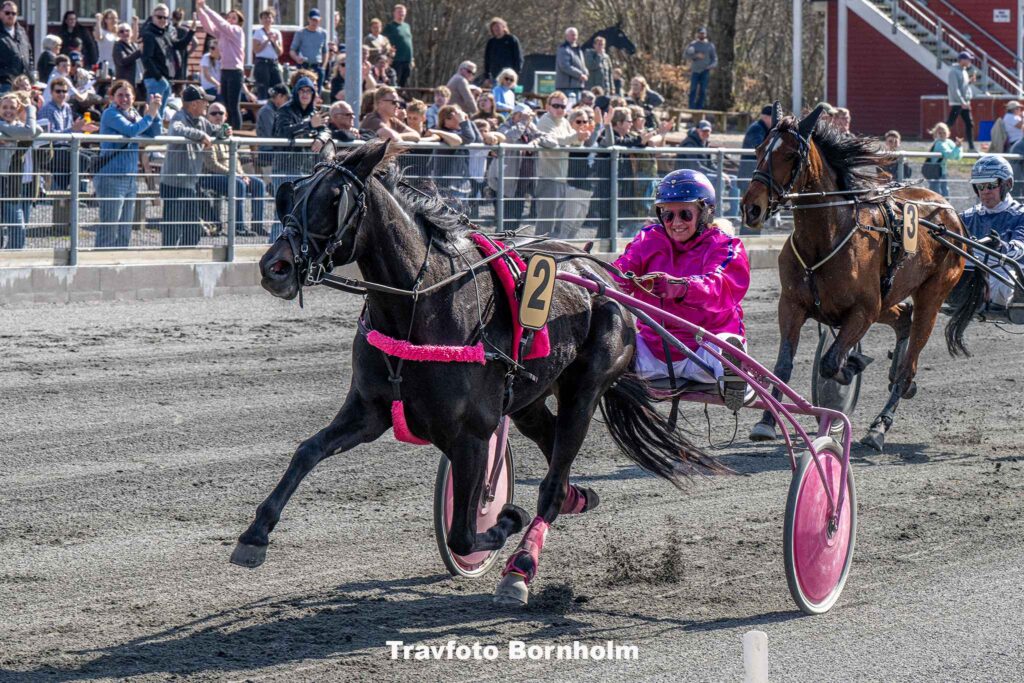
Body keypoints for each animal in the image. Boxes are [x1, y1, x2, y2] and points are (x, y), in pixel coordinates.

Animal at [232, 140, 720, 606]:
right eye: (291, 193)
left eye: (335, 198)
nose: (274, 267)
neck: (421, 305)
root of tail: (603, 275)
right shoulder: (370, 411)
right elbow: (307, 451)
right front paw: (254, 535)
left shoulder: (471, 435)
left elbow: (463, 534)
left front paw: (505, 517)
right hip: (528, 398)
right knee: (551, 447)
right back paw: (579, 497)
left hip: (585, 389)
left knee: (552, 483)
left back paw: (520, 568)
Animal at [741, 105, 976, 452]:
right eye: (758, 150)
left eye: (791, 154)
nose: (751, 208)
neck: (825, 237)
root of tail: (950, 212)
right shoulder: (791, 305)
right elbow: (782, 366)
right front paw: (766, 421)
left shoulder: (863, 311)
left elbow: (830, 362)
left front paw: (851, 367)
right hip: (889, 298)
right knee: (903, 319)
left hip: (931, 297)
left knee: (910, 361)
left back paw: (880, 425)